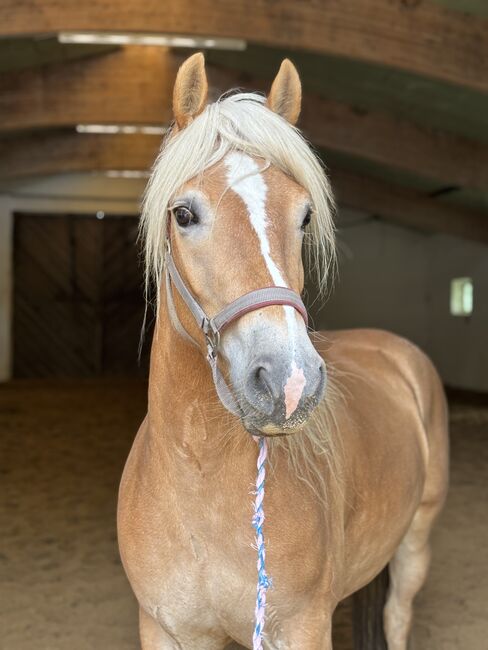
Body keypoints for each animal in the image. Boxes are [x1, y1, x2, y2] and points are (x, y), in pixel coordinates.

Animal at [117, 53, 449, 650]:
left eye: (305, 216)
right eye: (183, 214)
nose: (288, 381)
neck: (198, 482)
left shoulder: (302, 626)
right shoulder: (164, 628)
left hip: (417, 538)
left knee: (397, 614)